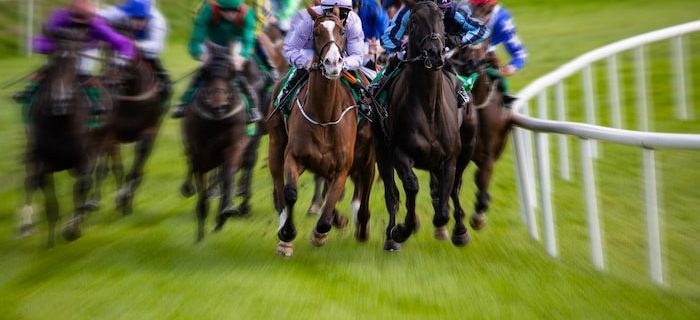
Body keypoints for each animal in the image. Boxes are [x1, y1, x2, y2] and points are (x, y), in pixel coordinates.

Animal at [24, 28, 93, 248]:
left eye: (75, 59)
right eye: (52, 60)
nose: (60, 101)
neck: (61, 122)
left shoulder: (84, 157)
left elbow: (82, 186)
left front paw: (72, 229)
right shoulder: (43, 162)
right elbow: (51, 204)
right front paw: (50, 243)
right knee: (29, 181)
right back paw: (25, 226)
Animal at [182, 43, 250, 241]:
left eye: (232, 71)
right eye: (204, 72)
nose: (217, 107)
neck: (216, 123)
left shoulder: (233, 147)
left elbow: (227, 179)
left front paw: (225, 212)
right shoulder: (199, 154)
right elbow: (202, 197)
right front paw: (200, 236)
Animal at [268, 6, 378, 258]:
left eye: (341, 31)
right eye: (316, 32)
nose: (332, 63)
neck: (324, 116)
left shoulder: (342, 167)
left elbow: (332, 200)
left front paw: (320, 233)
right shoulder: (293, 156)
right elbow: (290, 193)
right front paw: (287, 235)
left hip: (365, 155)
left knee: (362, 183)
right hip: (275, 145)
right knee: (279, 191)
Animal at [374, 0, 478, 251]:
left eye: (441, 19)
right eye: (413, 20)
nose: (434, 52)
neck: (428, 106)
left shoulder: (450, 158)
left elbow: (444, 205)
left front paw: (457, 230)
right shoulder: (399, 151)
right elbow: (411, 187)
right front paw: (402, 229)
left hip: (467, 146)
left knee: (455, 187)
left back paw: (460, 230)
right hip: (381, 150)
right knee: (391, 194)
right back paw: (391, 238)